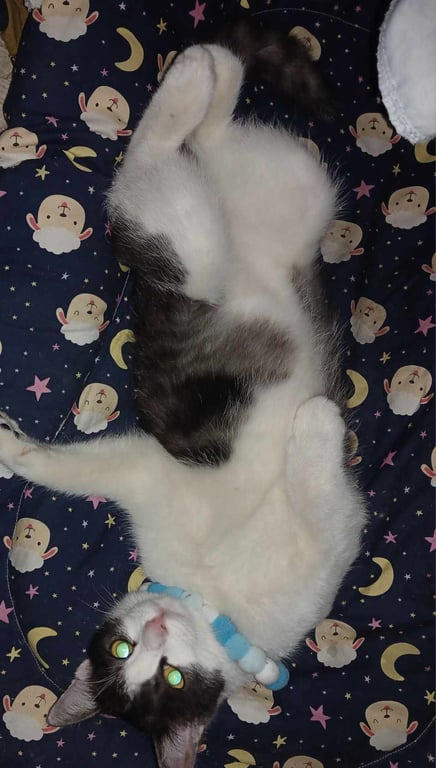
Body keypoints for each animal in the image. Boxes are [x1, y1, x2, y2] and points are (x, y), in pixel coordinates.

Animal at [0, 38, 365, 768]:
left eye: (167, 675)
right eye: (125, 654)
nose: (159, 629)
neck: (210, 594)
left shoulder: (318, 532)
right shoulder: (164, 478)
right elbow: (73, 466)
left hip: (255, 208)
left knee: (161, 160)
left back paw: (200, 73)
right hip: (245, 211)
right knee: (166, 162)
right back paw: (205, 79)